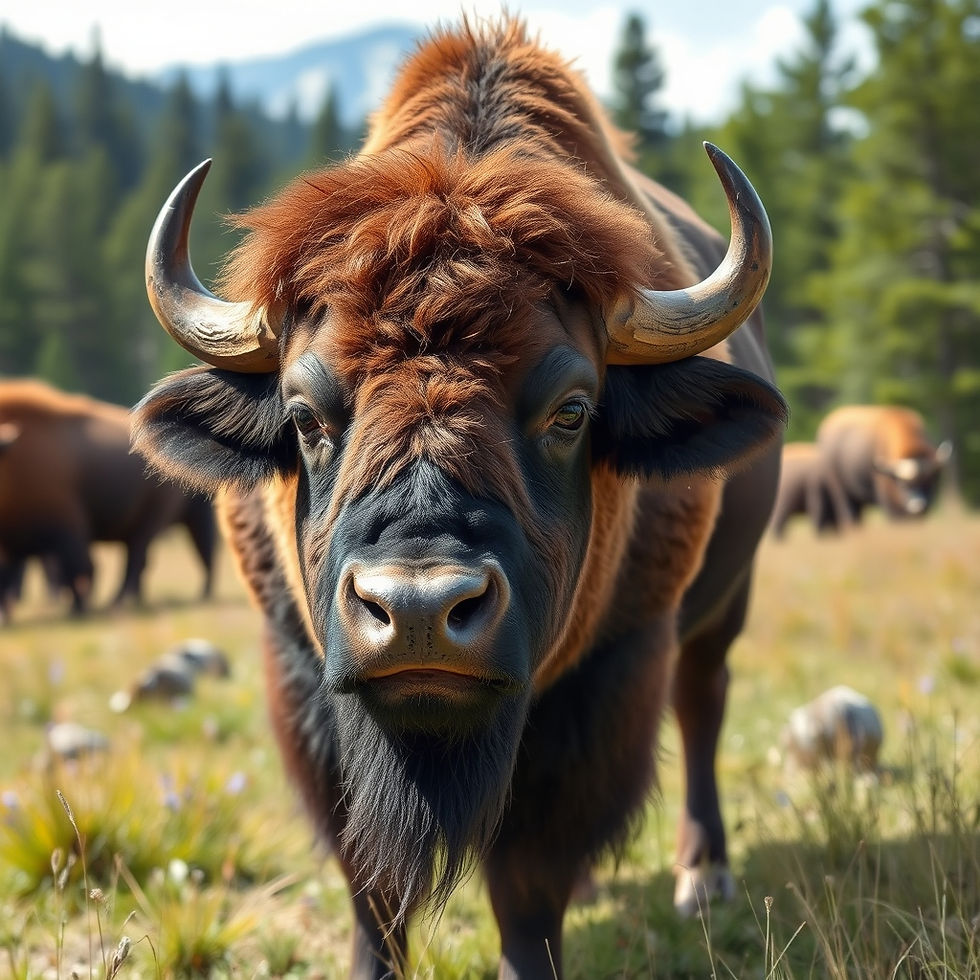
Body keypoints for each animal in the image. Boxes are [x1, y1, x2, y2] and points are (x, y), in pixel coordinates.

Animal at [0, 379, 216, 619]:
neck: (13, 456)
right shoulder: (12, 545)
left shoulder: (69, 530)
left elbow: (79, 568)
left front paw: (78, 609)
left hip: (159, 522)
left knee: (145, 559)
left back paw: (121, 601)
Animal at [133, 18, 787, 977]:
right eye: (304, 414)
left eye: (571, 409)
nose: (417, 611)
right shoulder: (308, 688)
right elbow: (372, 884)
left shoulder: (609, 678)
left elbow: (529, 885)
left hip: (722, 605)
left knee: (704, 701)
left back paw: (704, 876)